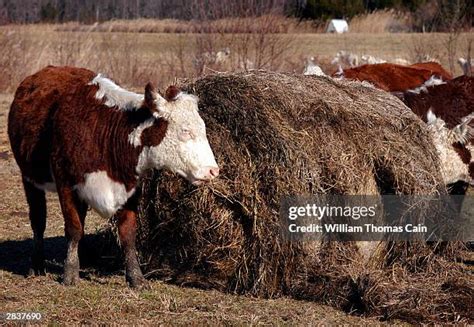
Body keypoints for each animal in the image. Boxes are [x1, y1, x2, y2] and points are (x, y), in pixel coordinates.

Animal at [8, 65, 220, 288]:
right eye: (185, 131)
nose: (213, 170)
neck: (105, 133)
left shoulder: (131, 188)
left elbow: (127, 234)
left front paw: (136, 277)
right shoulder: (65, 184)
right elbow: (73, 228)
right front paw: (70, 273)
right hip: (30, 179)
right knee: (38, 220)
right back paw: (36, 264)